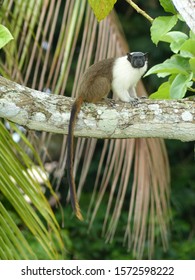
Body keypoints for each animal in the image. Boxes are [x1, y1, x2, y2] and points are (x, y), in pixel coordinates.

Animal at [66, 51, 148, 220]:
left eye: (141, 58)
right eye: (135, 58)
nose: (138, 61)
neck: (133, 68)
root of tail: (81, 92)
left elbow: (131, 88)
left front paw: (137, 97)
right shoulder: (124, 75)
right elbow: (119, 87)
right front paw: (129, 101)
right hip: (93, 89)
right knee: (105, 81)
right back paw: (100, 100)